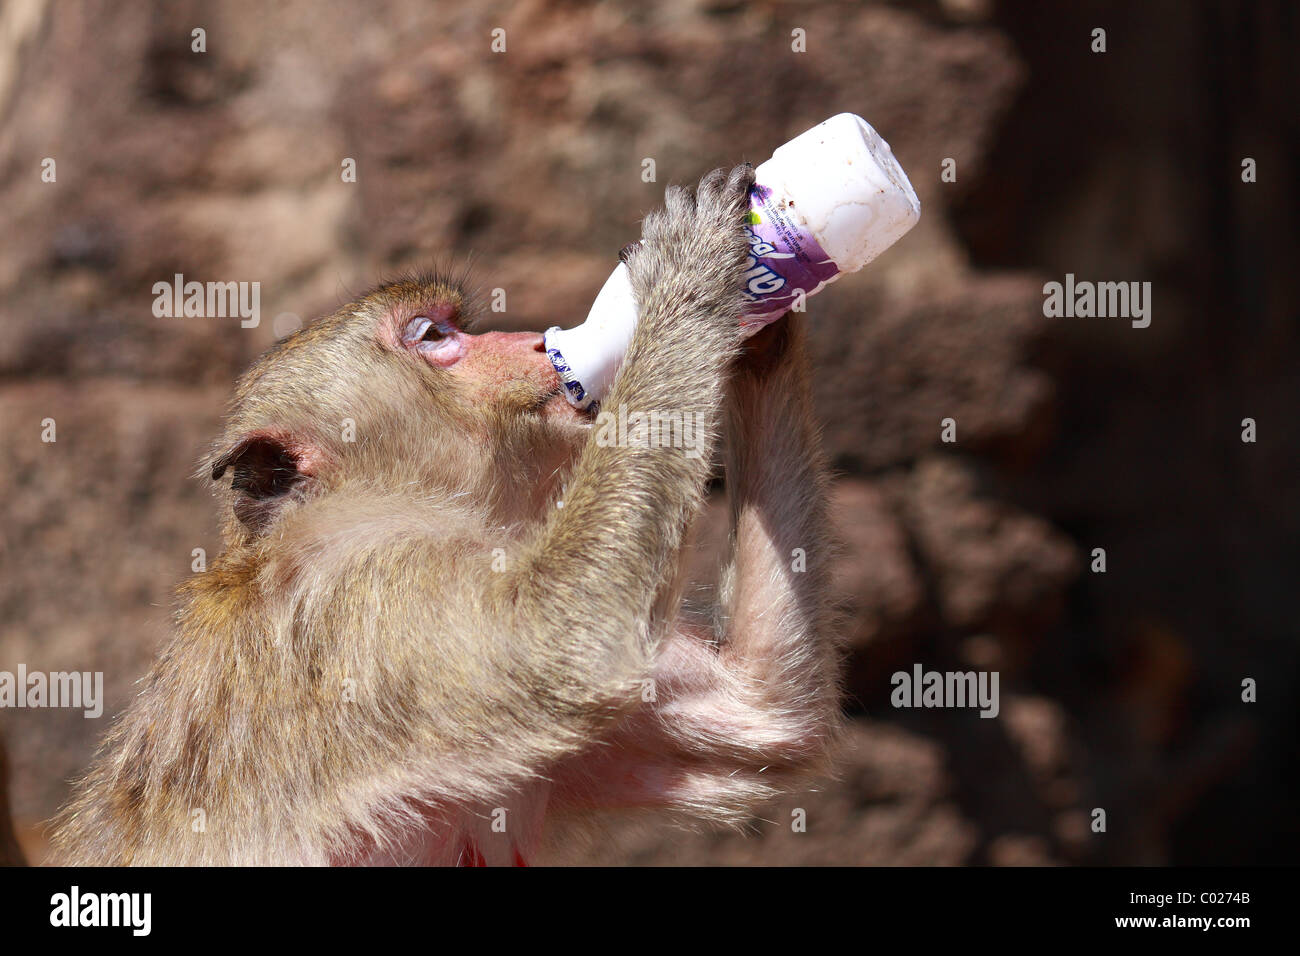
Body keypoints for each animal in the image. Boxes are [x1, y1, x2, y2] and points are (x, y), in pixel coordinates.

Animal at [48, 164, 839, 865]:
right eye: (432, 335)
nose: (532, 341)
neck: (384, 502)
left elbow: (764, 712)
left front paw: (768, 303)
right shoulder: (366, 601)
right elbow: (565, 640)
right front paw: (688, 273)